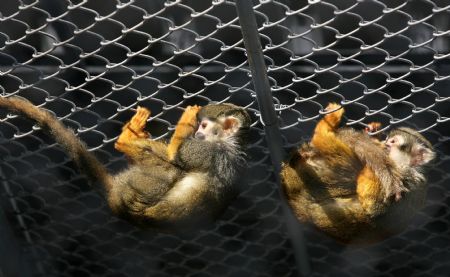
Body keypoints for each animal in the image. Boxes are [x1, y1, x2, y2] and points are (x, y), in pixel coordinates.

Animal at [0, 96, 251, 230]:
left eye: (205, 126)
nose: (198, 132)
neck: (230, 143)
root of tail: (117, 203)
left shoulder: (206, 151)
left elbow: (176, 158)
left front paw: (187, 119)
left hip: (134, 193)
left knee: (170, 170)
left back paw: (124, 142)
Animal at [282, 103, 436, 244]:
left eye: (392, 142)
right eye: (388, 140)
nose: (385, 144)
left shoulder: (405, 176)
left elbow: (373, 207)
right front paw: (373, 135)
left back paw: (327, 125)